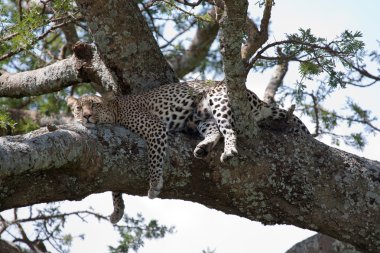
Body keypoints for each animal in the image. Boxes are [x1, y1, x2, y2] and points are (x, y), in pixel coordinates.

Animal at [65, 80, 308, 223]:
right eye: (78, 108)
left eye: (94, 105)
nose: (86, 116)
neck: (116, 110)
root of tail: (257, 99)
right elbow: (115, 184)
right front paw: (117, 210)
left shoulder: (155, 129)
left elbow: (155, 159)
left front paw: (154, 185)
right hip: (200, 116)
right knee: (215, 131)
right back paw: (203, 148)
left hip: (218, 100)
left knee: (228, 130)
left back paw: (229, 151)